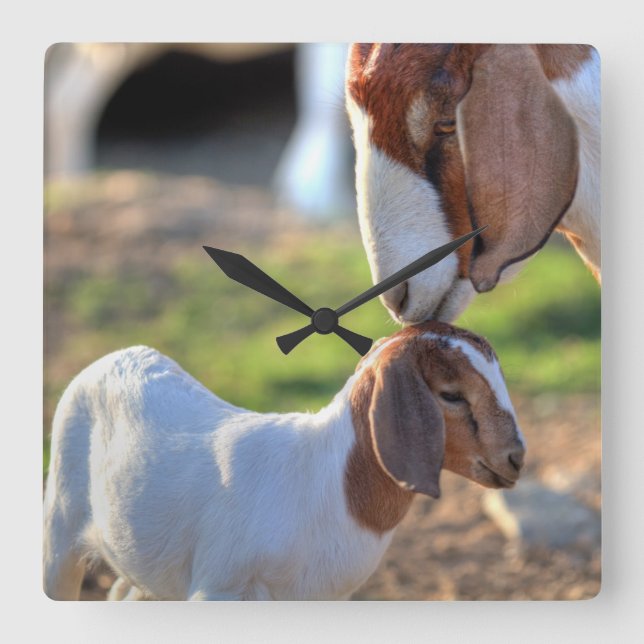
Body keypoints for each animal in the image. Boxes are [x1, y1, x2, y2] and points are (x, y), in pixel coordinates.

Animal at [43, 321, 525, 601]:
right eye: (451, 394)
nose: (516, 457)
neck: (326, 484)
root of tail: (117, 355)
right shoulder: (218, 587)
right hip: (59, 531)